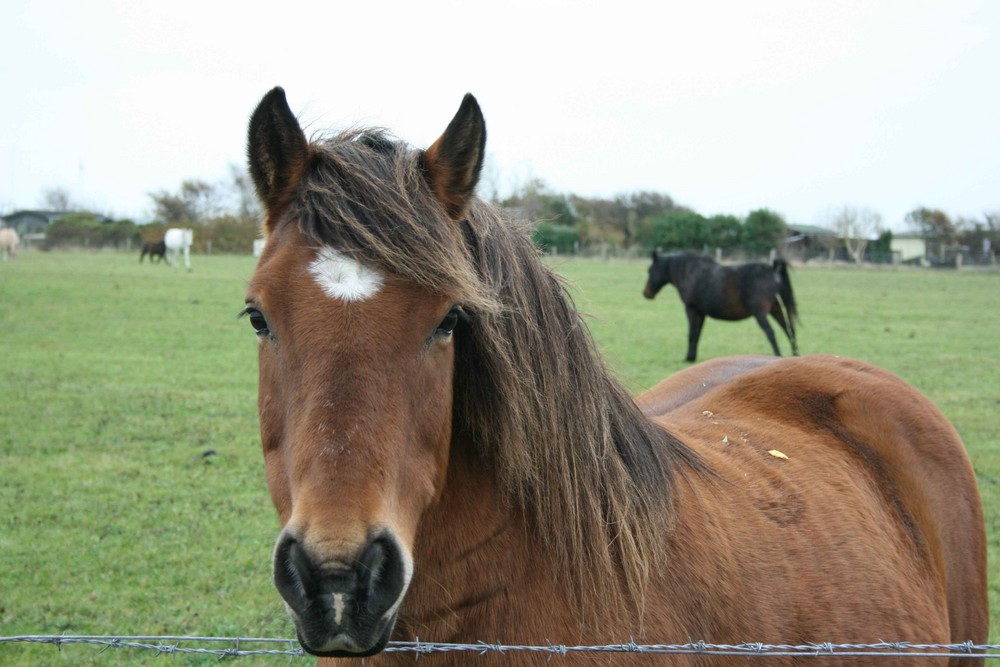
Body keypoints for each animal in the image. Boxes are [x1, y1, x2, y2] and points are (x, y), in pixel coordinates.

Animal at [644, 252, 800, 366]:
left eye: (650, 270)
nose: (646, 293)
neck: (690, 272)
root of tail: (772, 270)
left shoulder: (691, 309)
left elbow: (691, 334)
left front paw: (688, 358)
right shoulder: (701, 313)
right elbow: (697, 334)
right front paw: (692, 357)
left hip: (760, 313)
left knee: (771, 332)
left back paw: (778, 356)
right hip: (775, 308)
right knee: (789, 330)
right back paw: (795, 356)